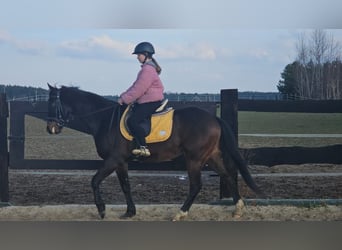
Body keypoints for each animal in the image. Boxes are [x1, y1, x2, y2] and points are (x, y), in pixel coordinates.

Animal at [46, 84, 262, 221]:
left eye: (53, 104)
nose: (51, 129)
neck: (105, 119)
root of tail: (214, 119)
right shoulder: (121, 162)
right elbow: (126, 186)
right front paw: (130, 212)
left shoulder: (112, 159)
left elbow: (94, 181)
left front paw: (101, 210)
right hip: (212, 156)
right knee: (228, 175)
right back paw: (238, 209)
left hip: (194, 159)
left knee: (196, 185)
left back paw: (180, 214)